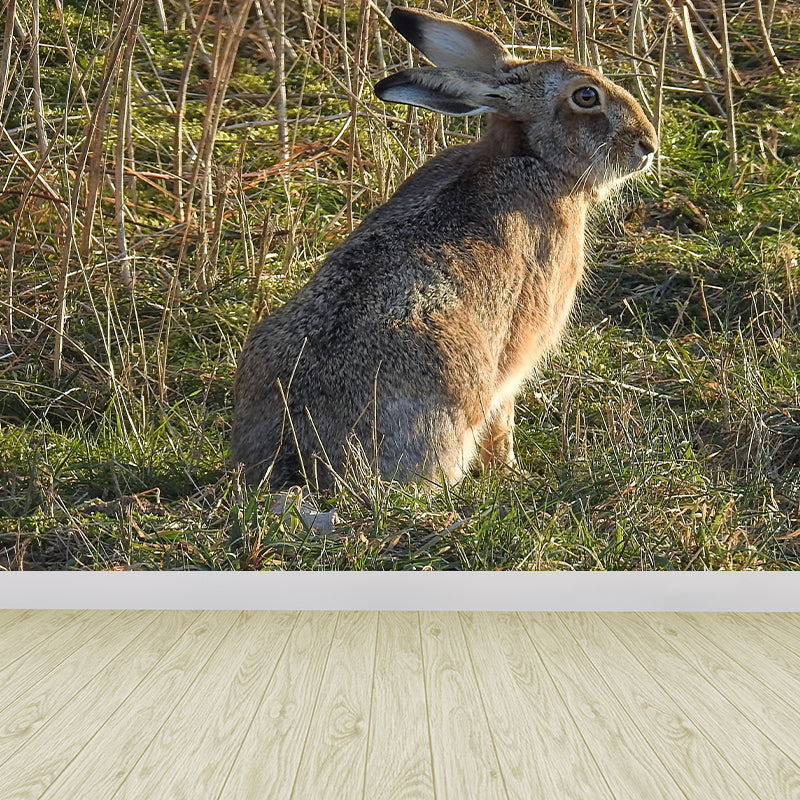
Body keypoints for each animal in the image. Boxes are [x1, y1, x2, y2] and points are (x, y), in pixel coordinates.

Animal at [231, 7, 658, 490]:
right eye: (586, 96)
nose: (648, 144)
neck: (533, 157)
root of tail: (296, 453)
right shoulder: (517, 352)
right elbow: (503, 414)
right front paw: (509, 471)